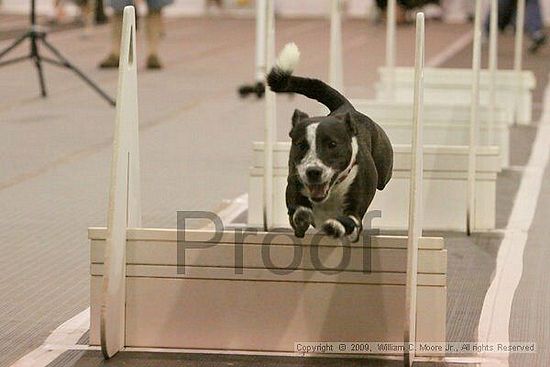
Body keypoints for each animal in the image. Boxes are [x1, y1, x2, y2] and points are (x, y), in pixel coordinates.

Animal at [268, 43, 392, 244]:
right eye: (301, 145)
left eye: (332, 144)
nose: (313, 172)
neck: (331, 191)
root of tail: (345, 107)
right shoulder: (293, 191)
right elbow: (296, 215)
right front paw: (302, 215)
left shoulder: (355, 214)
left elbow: (350, 222)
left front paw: (335, 226)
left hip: (383, 172)